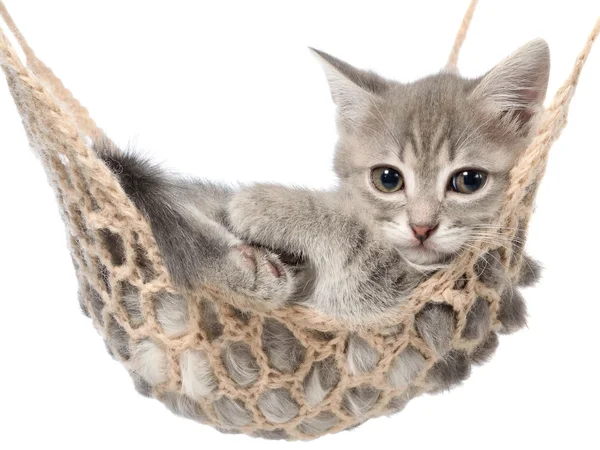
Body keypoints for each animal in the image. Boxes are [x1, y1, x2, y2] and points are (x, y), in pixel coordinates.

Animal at [96, 38, 552, 326]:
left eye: (469, 181)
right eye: (388, 179)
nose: (422, 228)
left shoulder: (411, 290)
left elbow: (357, 245)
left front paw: (264, 204)